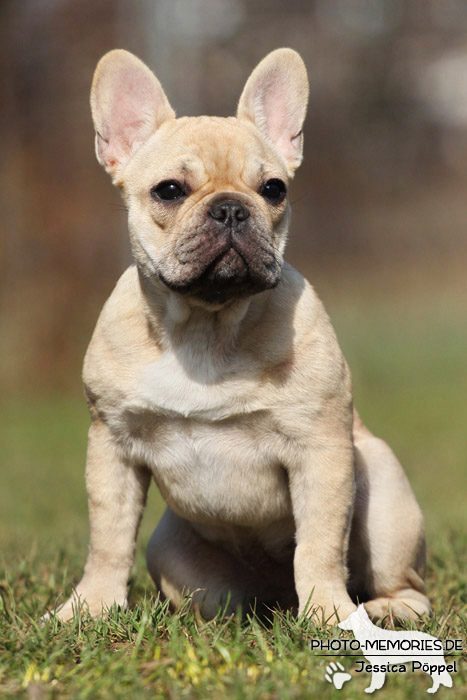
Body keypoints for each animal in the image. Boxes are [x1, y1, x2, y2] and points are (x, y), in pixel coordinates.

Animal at [48, 46, 432, 620]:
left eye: (273, 189)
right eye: (169, 190)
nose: (230, 207)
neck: (206, 326)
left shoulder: (321, 452)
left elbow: (320, 542)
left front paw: (330, 614)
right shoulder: (111, 446)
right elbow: (108, 538)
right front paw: (89, 608)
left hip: (383, 493)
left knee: (402, 583)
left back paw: (381, 612)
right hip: (172, 551)